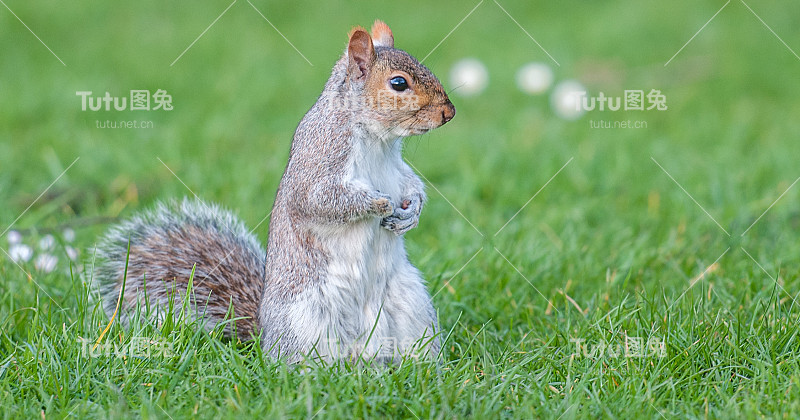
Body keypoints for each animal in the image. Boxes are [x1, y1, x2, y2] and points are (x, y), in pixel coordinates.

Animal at [90, 20, 454, 364]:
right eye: (398, 83)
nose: (449, 112)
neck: (378, 139)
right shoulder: (318, 162)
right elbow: (321, 200)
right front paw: (379, 202)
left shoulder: (397, 168)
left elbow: (412, 184)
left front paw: (412, 211)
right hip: (305, 319)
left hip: (413, 308)